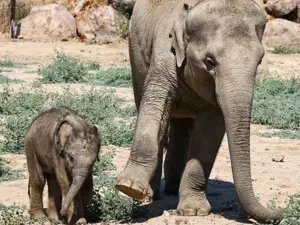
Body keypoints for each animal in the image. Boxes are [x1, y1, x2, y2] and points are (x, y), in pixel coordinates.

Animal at [115, 0, 284, 222]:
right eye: (210, 61)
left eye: (260, 61)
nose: (279, 212)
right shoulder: (165, 54)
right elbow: (153, 106)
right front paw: (129, 188)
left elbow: (210, 130)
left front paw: (193, 211)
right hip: (135, 55)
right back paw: (151, 194)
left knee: (182, 125)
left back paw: (173, 189)